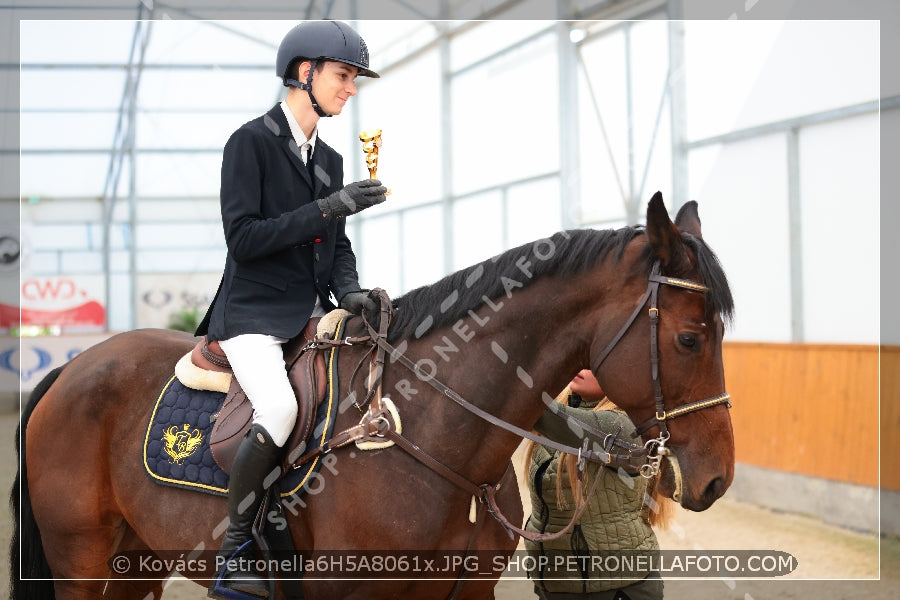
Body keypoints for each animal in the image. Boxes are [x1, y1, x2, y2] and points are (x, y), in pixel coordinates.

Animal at [12, 193, 732, 600]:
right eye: (691, 338)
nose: (717, 479)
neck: (444, 443)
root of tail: (73, 370)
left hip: (135, 563)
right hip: (83, 560)